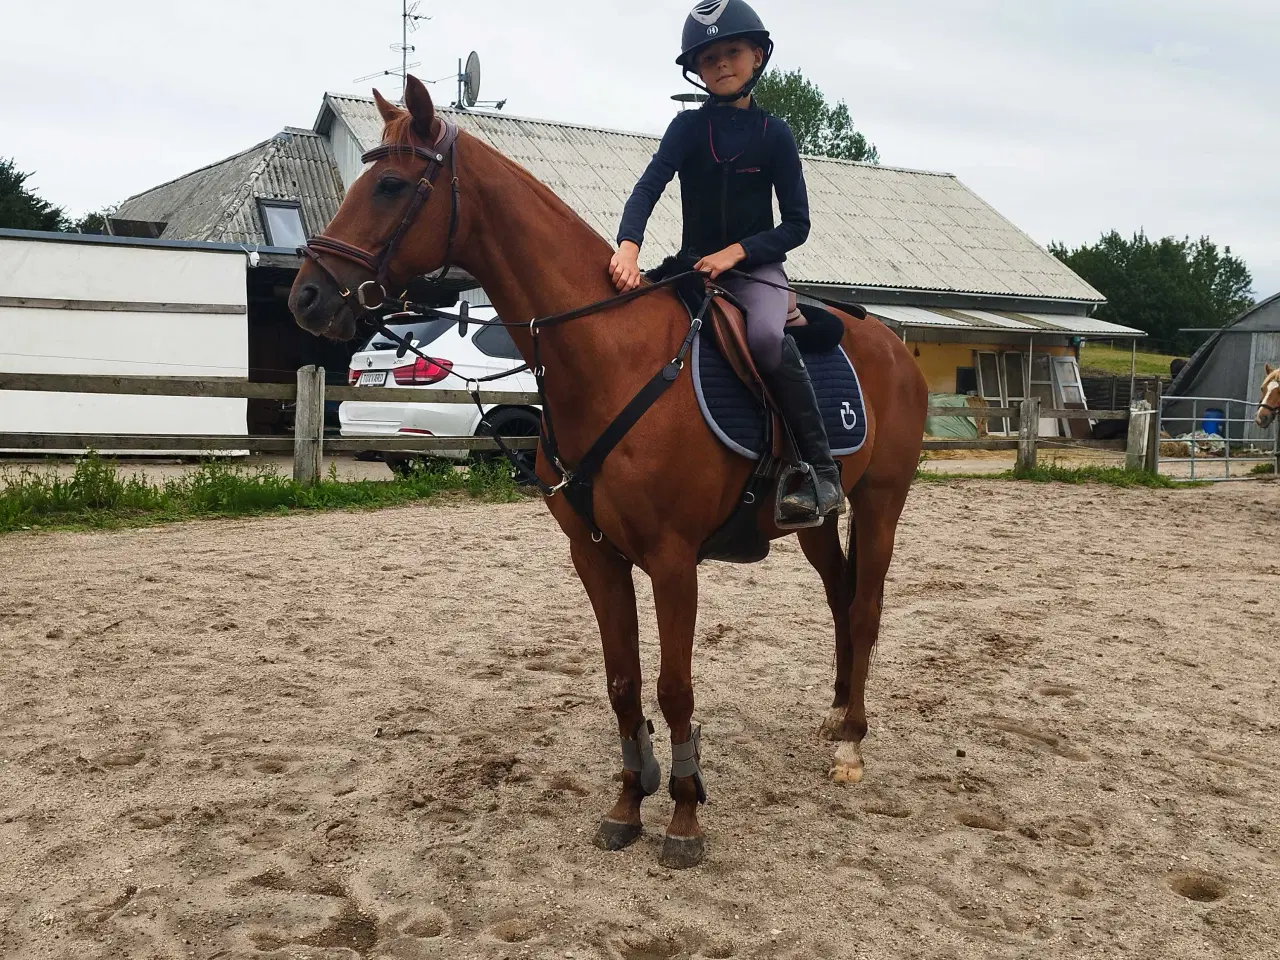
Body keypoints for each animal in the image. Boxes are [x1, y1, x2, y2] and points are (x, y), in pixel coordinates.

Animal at [289, 77, 928, 869]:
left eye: (391, 185)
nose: (307, 296)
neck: (607, 354)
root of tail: (895, 347)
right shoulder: (594, 554)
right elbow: (623, 683)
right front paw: (629, 800)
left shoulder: (673, 559)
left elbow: (676, 686)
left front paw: (684, 816)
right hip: (816, 519)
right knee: (840, 598)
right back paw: (837, 711)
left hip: (881, 502)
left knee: (865, 609)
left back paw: (851, 744)